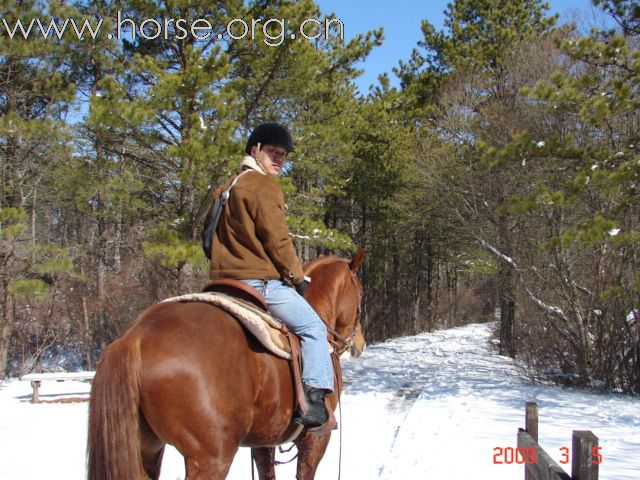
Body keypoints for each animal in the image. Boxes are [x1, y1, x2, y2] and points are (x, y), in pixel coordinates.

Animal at [88, 249, 364, 478]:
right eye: (361, 293)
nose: (359, 343)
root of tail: (137, 336)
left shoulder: (264, 441)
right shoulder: (315, 441)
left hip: (147, 448)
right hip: (211, 458)